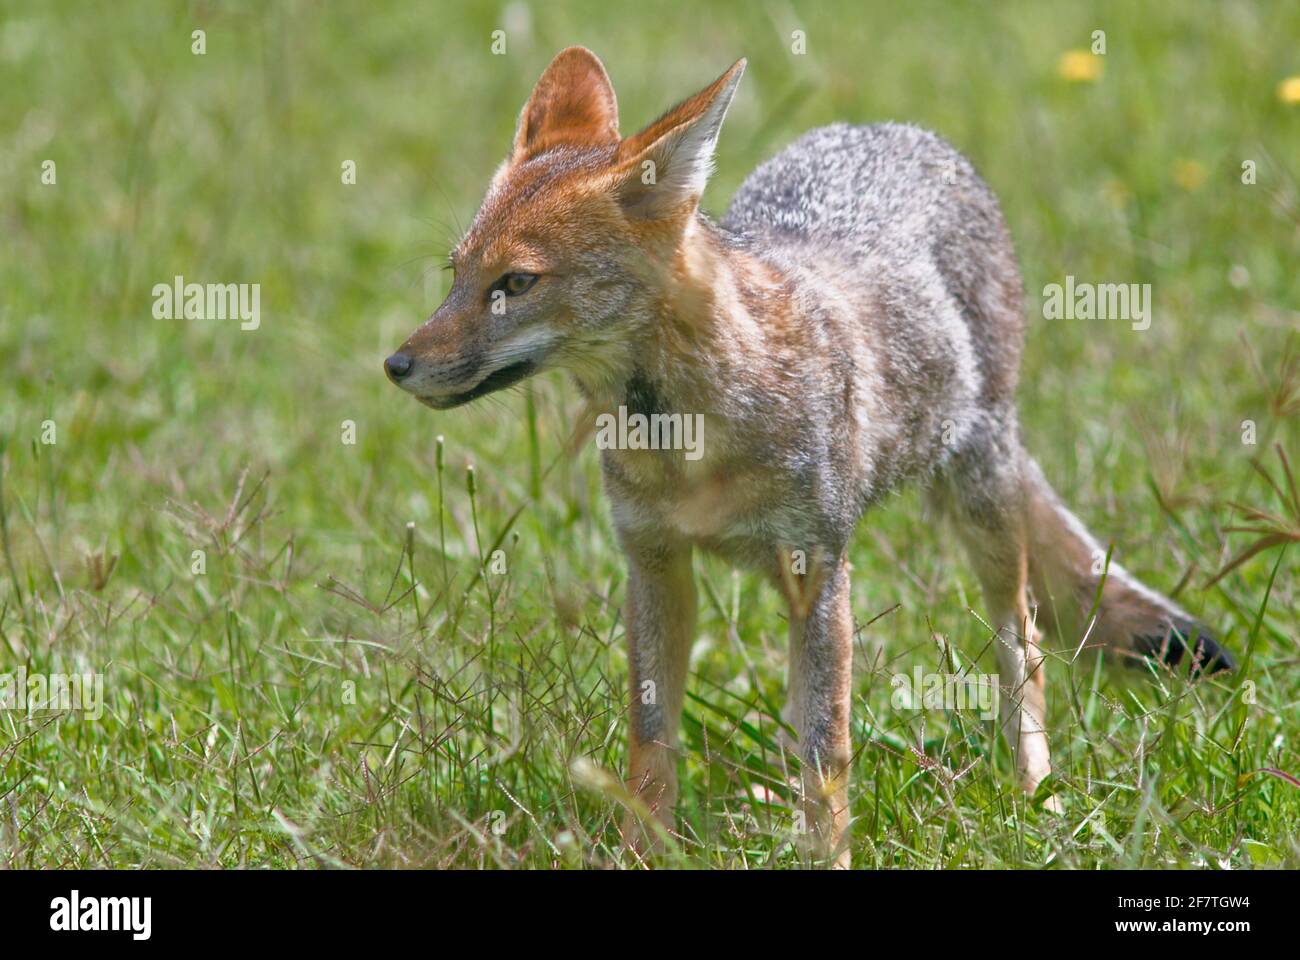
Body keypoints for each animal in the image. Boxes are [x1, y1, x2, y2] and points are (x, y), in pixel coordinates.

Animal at [379, 48, 1232, 863]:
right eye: (456, 274)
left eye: (516, 283)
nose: (396, 365)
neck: (694, 444)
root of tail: (886, 128)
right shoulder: (654, 565)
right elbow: (652, 745)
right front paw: (641, 854)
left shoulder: (820, 568)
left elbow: (831, 752)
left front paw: (828, 856)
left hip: (979, 506)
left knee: (1022, 646)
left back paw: (1037, 794)